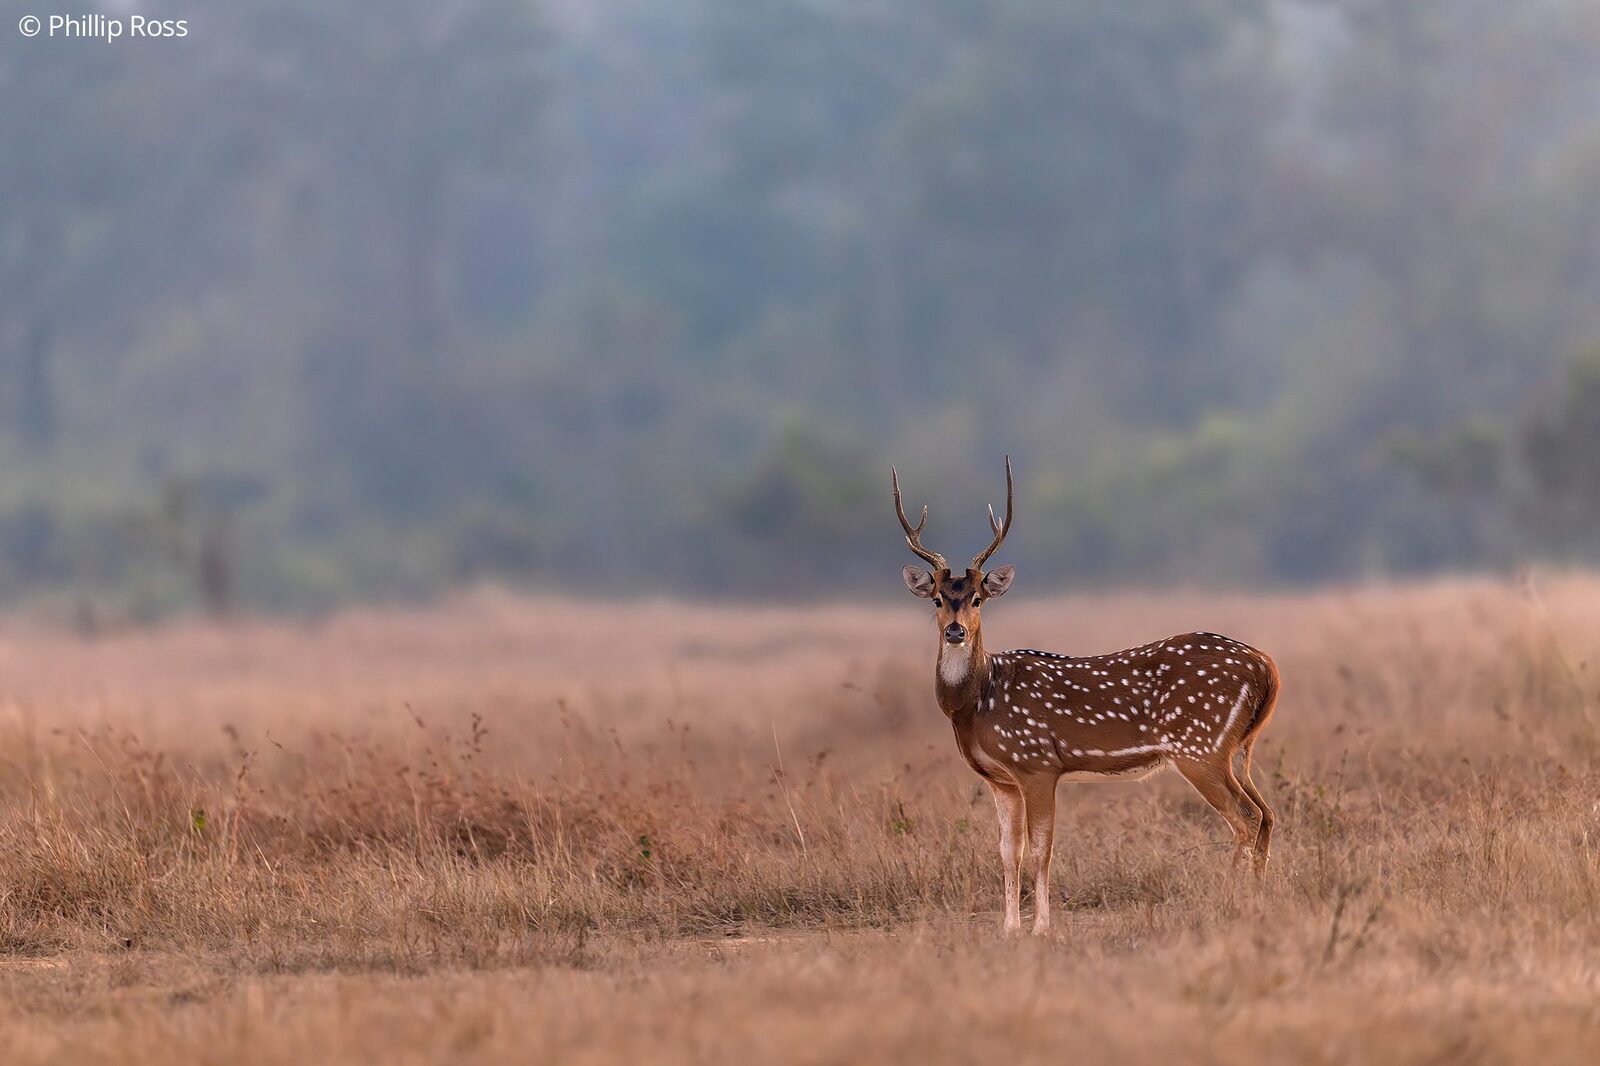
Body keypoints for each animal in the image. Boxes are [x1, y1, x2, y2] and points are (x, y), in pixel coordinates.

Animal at [892, 458, 1279, 935]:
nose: (955, 631)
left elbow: (1041, 850)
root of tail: (1266, 667)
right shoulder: (1001, 779)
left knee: (1245, 818)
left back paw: (1229, 901)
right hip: (1238, 747)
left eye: (979, 599)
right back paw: (1256, 901)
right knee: (1266, 814)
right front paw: (1009, 929)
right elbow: (1007, 853)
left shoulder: (1037, 764)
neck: (978, 701)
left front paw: (1041, 927)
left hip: (1199, 745)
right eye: (938, 599)